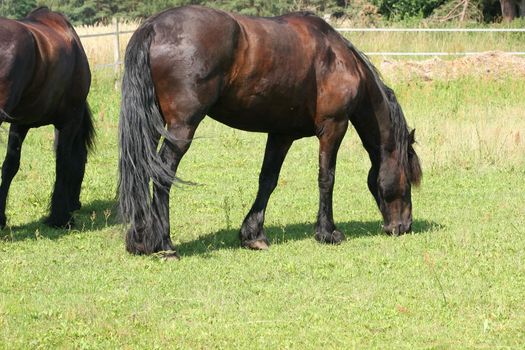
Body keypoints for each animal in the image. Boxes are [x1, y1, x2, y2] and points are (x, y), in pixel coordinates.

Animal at [0, 8, 93, 228]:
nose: (77, 204)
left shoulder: (20, 124)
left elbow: (10, 165)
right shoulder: (70, 120)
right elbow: (64, 162)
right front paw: (61, 217)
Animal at [117, 4, 422, 258]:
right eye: (408, 180)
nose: (403, 226)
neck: (339, 59)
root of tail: (153, 27)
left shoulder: (280, 134)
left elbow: (268, 180)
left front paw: (253, 235)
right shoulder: (334, 127)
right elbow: (327, 178)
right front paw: (328, 232)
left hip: (153, 126)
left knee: (143, 169)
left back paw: (141, 241)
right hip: (182, 129)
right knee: (162, 175)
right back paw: (165, 245)